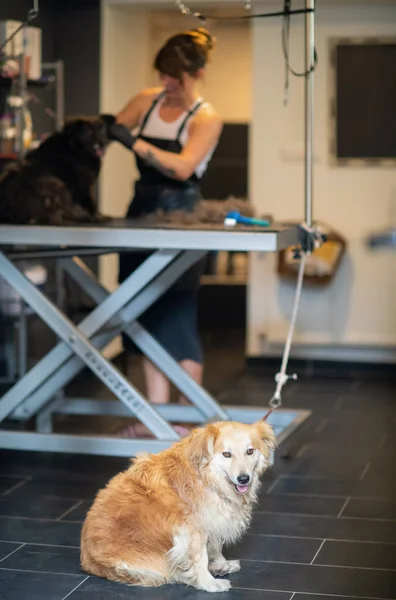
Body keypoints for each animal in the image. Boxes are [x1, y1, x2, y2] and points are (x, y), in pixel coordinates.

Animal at [79, 420, 274, 592]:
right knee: (171, 574)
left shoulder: (213, 520)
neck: (207, 476)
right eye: (227, 454)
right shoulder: (193, 529)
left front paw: (221, 564)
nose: (244, 479)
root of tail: (88, 560)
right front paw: (208, 582)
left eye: (250, 451)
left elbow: (216, 545)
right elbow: (200, 558)